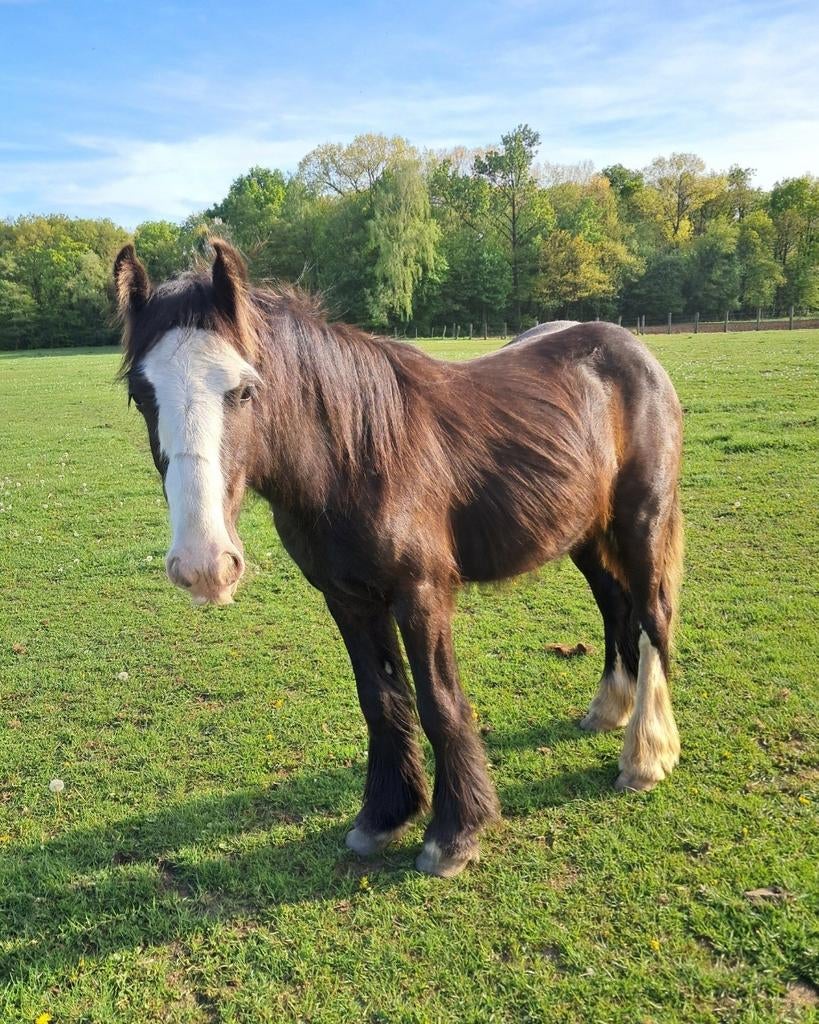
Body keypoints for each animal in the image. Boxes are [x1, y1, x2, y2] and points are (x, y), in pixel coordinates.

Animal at [113, 239, 683, 878]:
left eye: (244, 390)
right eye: (141, 395)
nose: (204, 564)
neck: (356, 459)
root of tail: (634, 351)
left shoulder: (421, 594)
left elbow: (439, 704)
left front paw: (454, 834)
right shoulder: (348, 599)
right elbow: (382, 702)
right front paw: (385, 816)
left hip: (642, 522)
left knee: (653, 618)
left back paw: (646, 756)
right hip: (586, 533)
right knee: (615, 607)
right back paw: (610, 708)